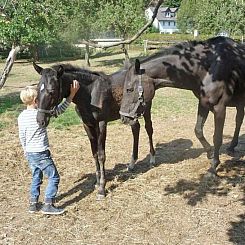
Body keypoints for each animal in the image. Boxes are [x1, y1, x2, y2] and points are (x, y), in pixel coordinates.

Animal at [33, 62, 155, 199]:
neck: (89, 93)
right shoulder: (87, 125)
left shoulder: (101, 124)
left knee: (149, 128)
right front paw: (97, 182)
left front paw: (102, 188)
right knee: (136, 128)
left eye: (52, 91)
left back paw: (152, 159)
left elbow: (101, 155)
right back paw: (132, 164)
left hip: (145, 108)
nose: (40, 120)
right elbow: (94, 153)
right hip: (130, 115)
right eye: (37, 89)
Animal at [119, 36, 245, 176]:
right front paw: (210, 153)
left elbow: (217, 137)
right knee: (239, 120)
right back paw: (232, 146)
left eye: (129, 89)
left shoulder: (219, 108)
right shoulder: (203, 104)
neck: (207, 67)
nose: (123, 117)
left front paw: (213, 167)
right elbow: (198, 131)